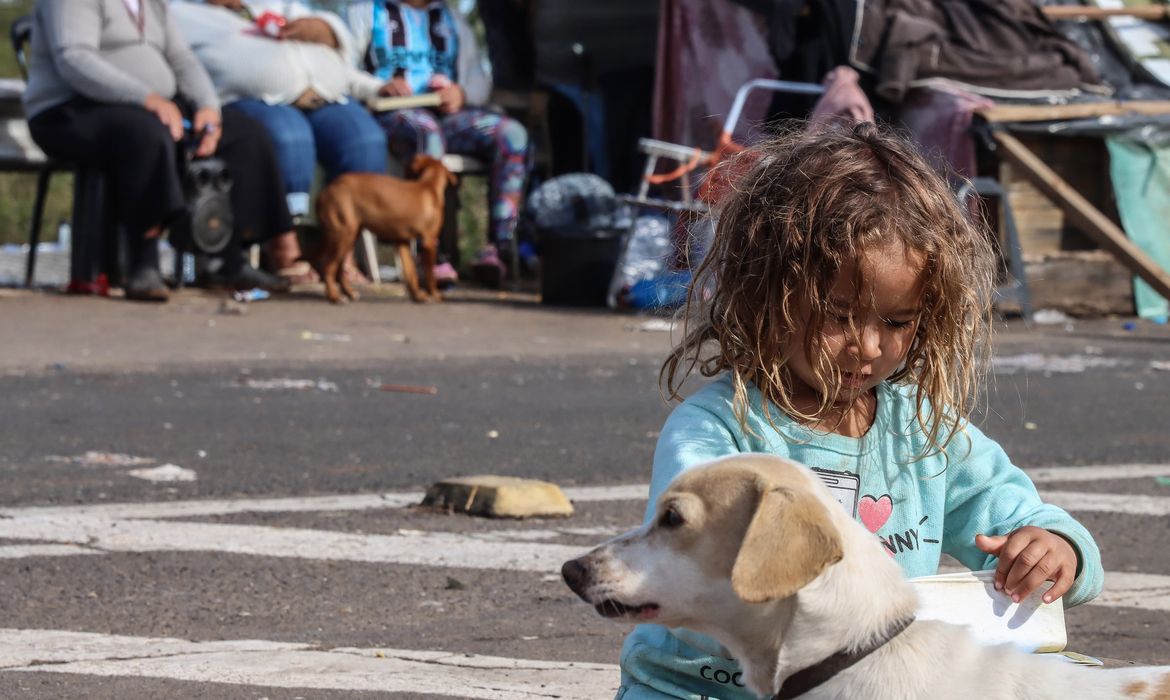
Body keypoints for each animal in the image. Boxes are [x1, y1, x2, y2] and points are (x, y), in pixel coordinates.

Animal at [313, 154, 453, 302]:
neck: (429, 185)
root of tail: (324, 192)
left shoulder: (401, 241)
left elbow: (410, 272)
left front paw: (417, 295)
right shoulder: (429, 241)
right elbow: (430, 274)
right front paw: (435, 294)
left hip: (348, 236)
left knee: (339, 268)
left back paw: (349, 292)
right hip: (344, 234)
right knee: (328, 266)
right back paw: (334, 297)